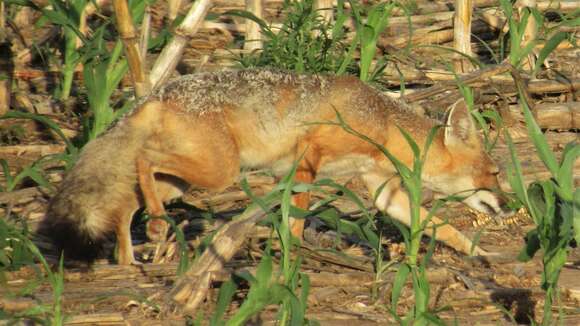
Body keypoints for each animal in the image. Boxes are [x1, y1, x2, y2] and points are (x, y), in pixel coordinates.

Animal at [42, 69, 512, 264]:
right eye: (494, 174)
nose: (509, 206)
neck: (381, 120)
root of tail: (157, 92)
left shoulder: (383, 190)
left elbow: (443, 229)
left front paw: (484, 255)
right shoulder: (306, 162)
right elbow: (297, 221)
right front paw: (294, 257)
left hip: (182, 182)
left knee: (127, 203)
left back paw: (130, 257)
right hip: (218, 172)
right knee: (144, 160)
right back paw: (155, 230)